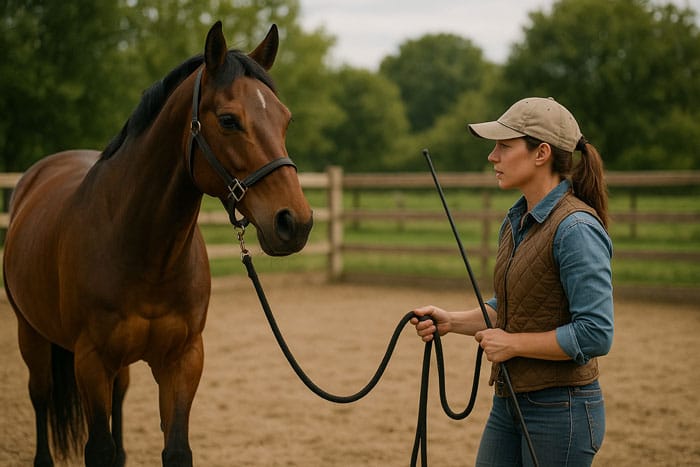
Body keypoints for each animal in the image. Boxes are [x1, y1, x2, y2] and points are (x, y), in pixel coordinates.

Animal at [2, 21, 313, 467]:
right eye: (228, 120)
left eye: (285, 119)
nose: (295, 222)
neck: (143, 249)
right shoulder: (90, 362)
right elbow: (99, 449)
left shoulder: (183, 360)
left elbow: (176, 448)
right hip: (30, 333)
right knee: (40, 395)